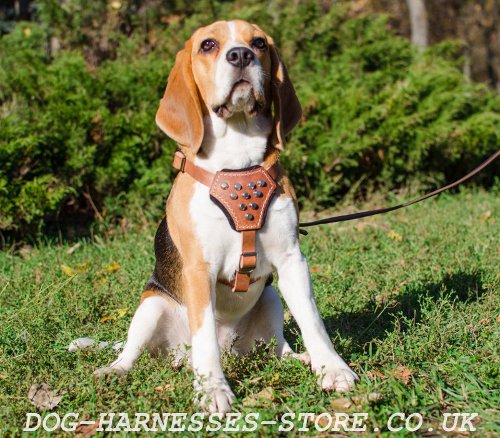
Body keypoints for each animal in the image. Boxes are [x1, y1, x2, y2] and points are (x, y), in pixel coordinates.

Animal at [94, 18, 360, 412]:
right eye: (208, 44)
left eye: (259, 42)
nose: (241, 55)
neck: (237, 161)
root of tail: (232, 350)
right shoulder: (198, 270)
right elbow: (204, 337)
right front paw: (213, 390)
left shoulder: (293, 260)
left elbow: (313, 321)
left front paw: (333, 368)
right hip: (151, 305)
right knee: (134, 351)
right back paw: (116, 369)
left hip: (271, 297)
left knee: (277, 347)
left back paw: (299, 357)